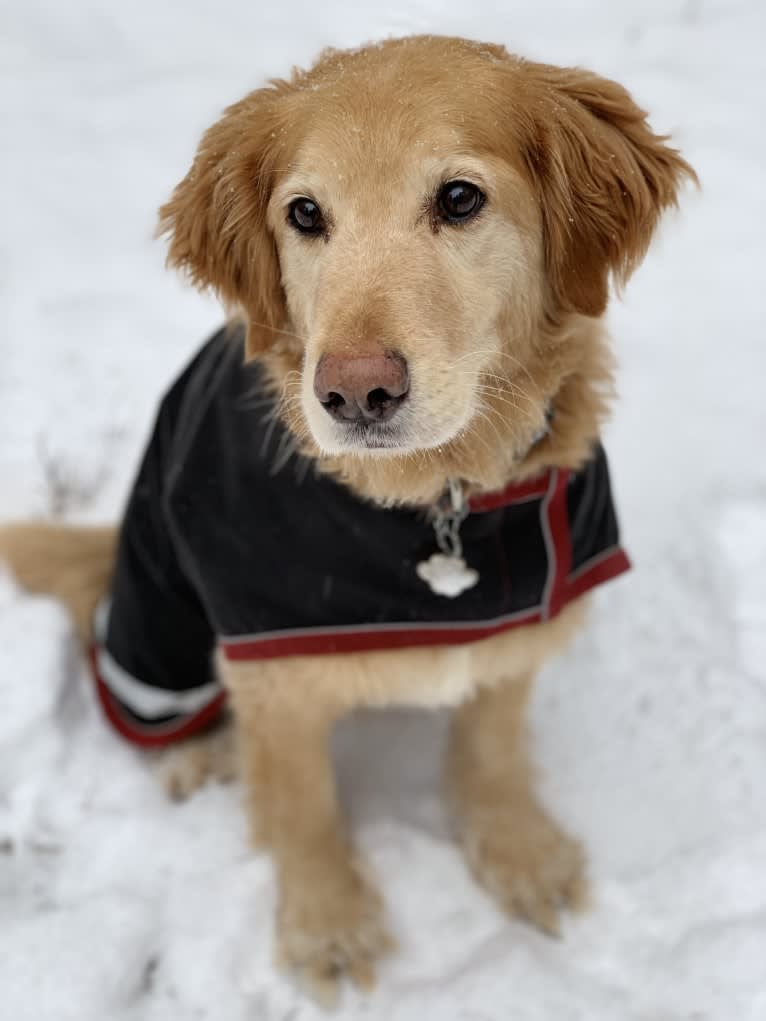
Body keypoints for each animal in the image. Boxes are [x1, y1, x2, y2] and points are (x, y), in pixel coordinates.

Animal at [0, 33, 694, 1004]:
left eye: (459, 198)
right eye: (305, 214)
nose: (356, 392)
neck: (437, 502)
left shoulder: (523, 628)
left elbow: (493, 750)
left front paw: (519, 853)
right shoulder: (273, 674)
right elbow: (302, 807)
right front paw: (326, 925)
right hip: (155, 621)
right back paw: (196, 754)